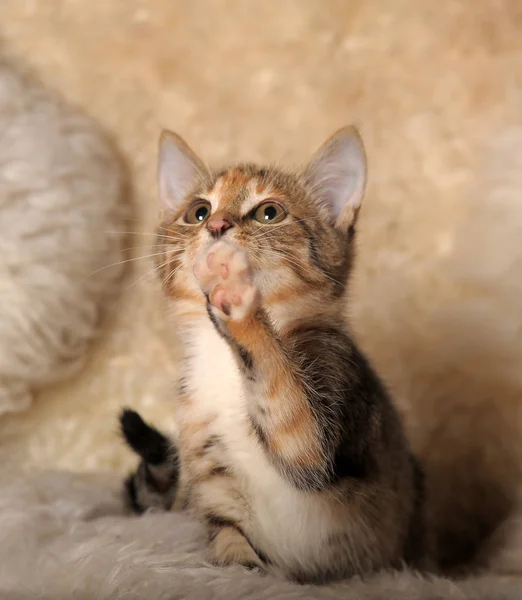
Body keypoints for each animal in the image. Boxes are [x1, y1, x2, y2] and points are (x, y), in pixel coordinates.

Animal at [120, 126, 428, 580]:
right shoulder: (212, 477)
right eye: (198, 211)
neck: (223, 364)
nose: (217, 224)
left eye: (269, 213)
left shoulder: (331, 396)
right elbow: (229, 545)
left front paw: (235, 297)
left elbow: (288, 408)